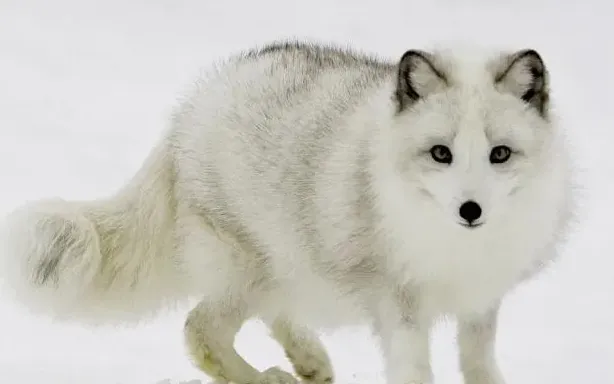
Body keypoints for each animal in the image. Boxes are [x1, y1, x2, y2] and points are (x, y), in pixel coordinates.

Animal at [1, 40, 576, 382]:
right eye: (441, 153)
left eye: (499, 154)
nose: (470, 208)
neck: (458, 247)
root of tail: (192, 106)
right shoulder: (400, 304)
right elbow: (415, 371)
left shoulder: (480, 302)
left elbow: (480, 367)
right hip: (250, 269)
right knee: (199, 331)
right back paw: (267, 377)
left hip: (287, 265)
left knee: (270, 315)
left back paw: (310, 361)